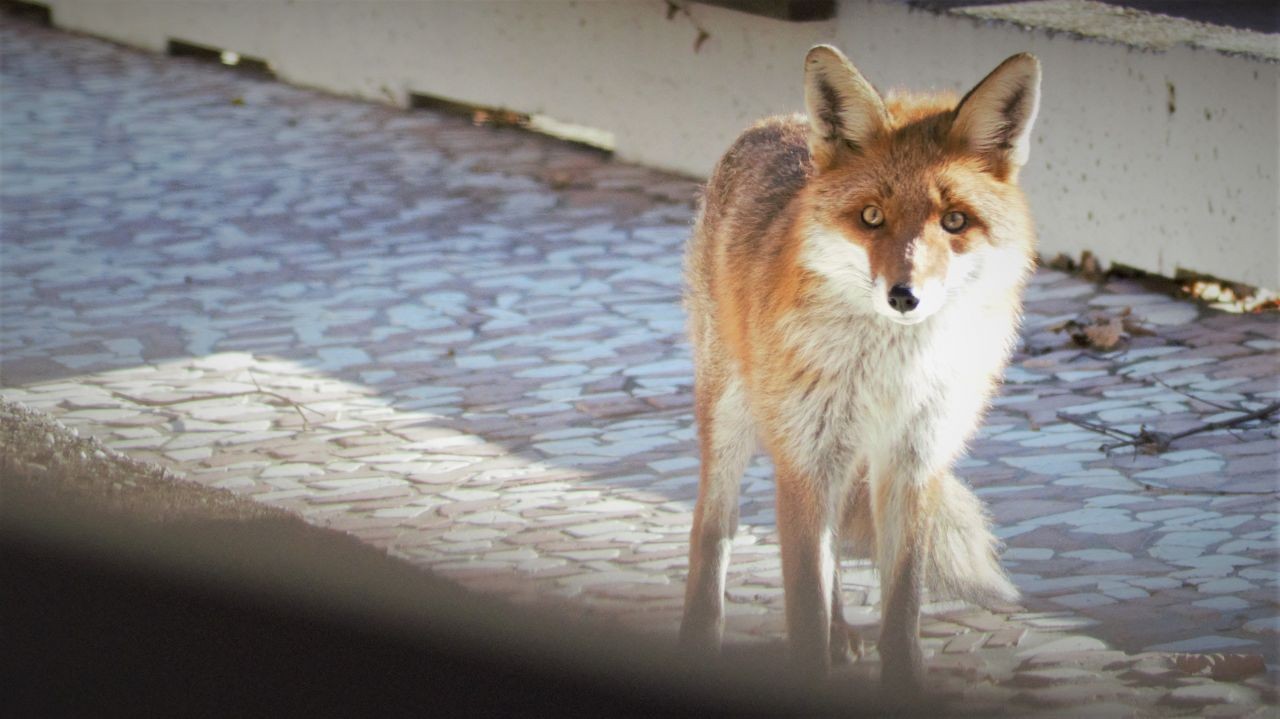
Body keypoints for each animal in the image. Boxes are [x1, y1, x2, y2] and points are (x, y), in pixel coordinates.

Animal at [680, 46, 1039, 690]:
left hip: (844, 463)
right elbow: (804, 609)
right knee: (712, 527)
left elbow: (900, 609)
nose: (905, 297)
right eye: (872, 216)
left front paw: (905, 686)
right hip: (732, 416)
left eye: (954, 221)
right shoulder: (805, 460)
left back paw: (844, 631)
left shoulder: (912, 461)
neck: (888, 375)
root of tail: (774, 121)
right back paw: (697, 640)